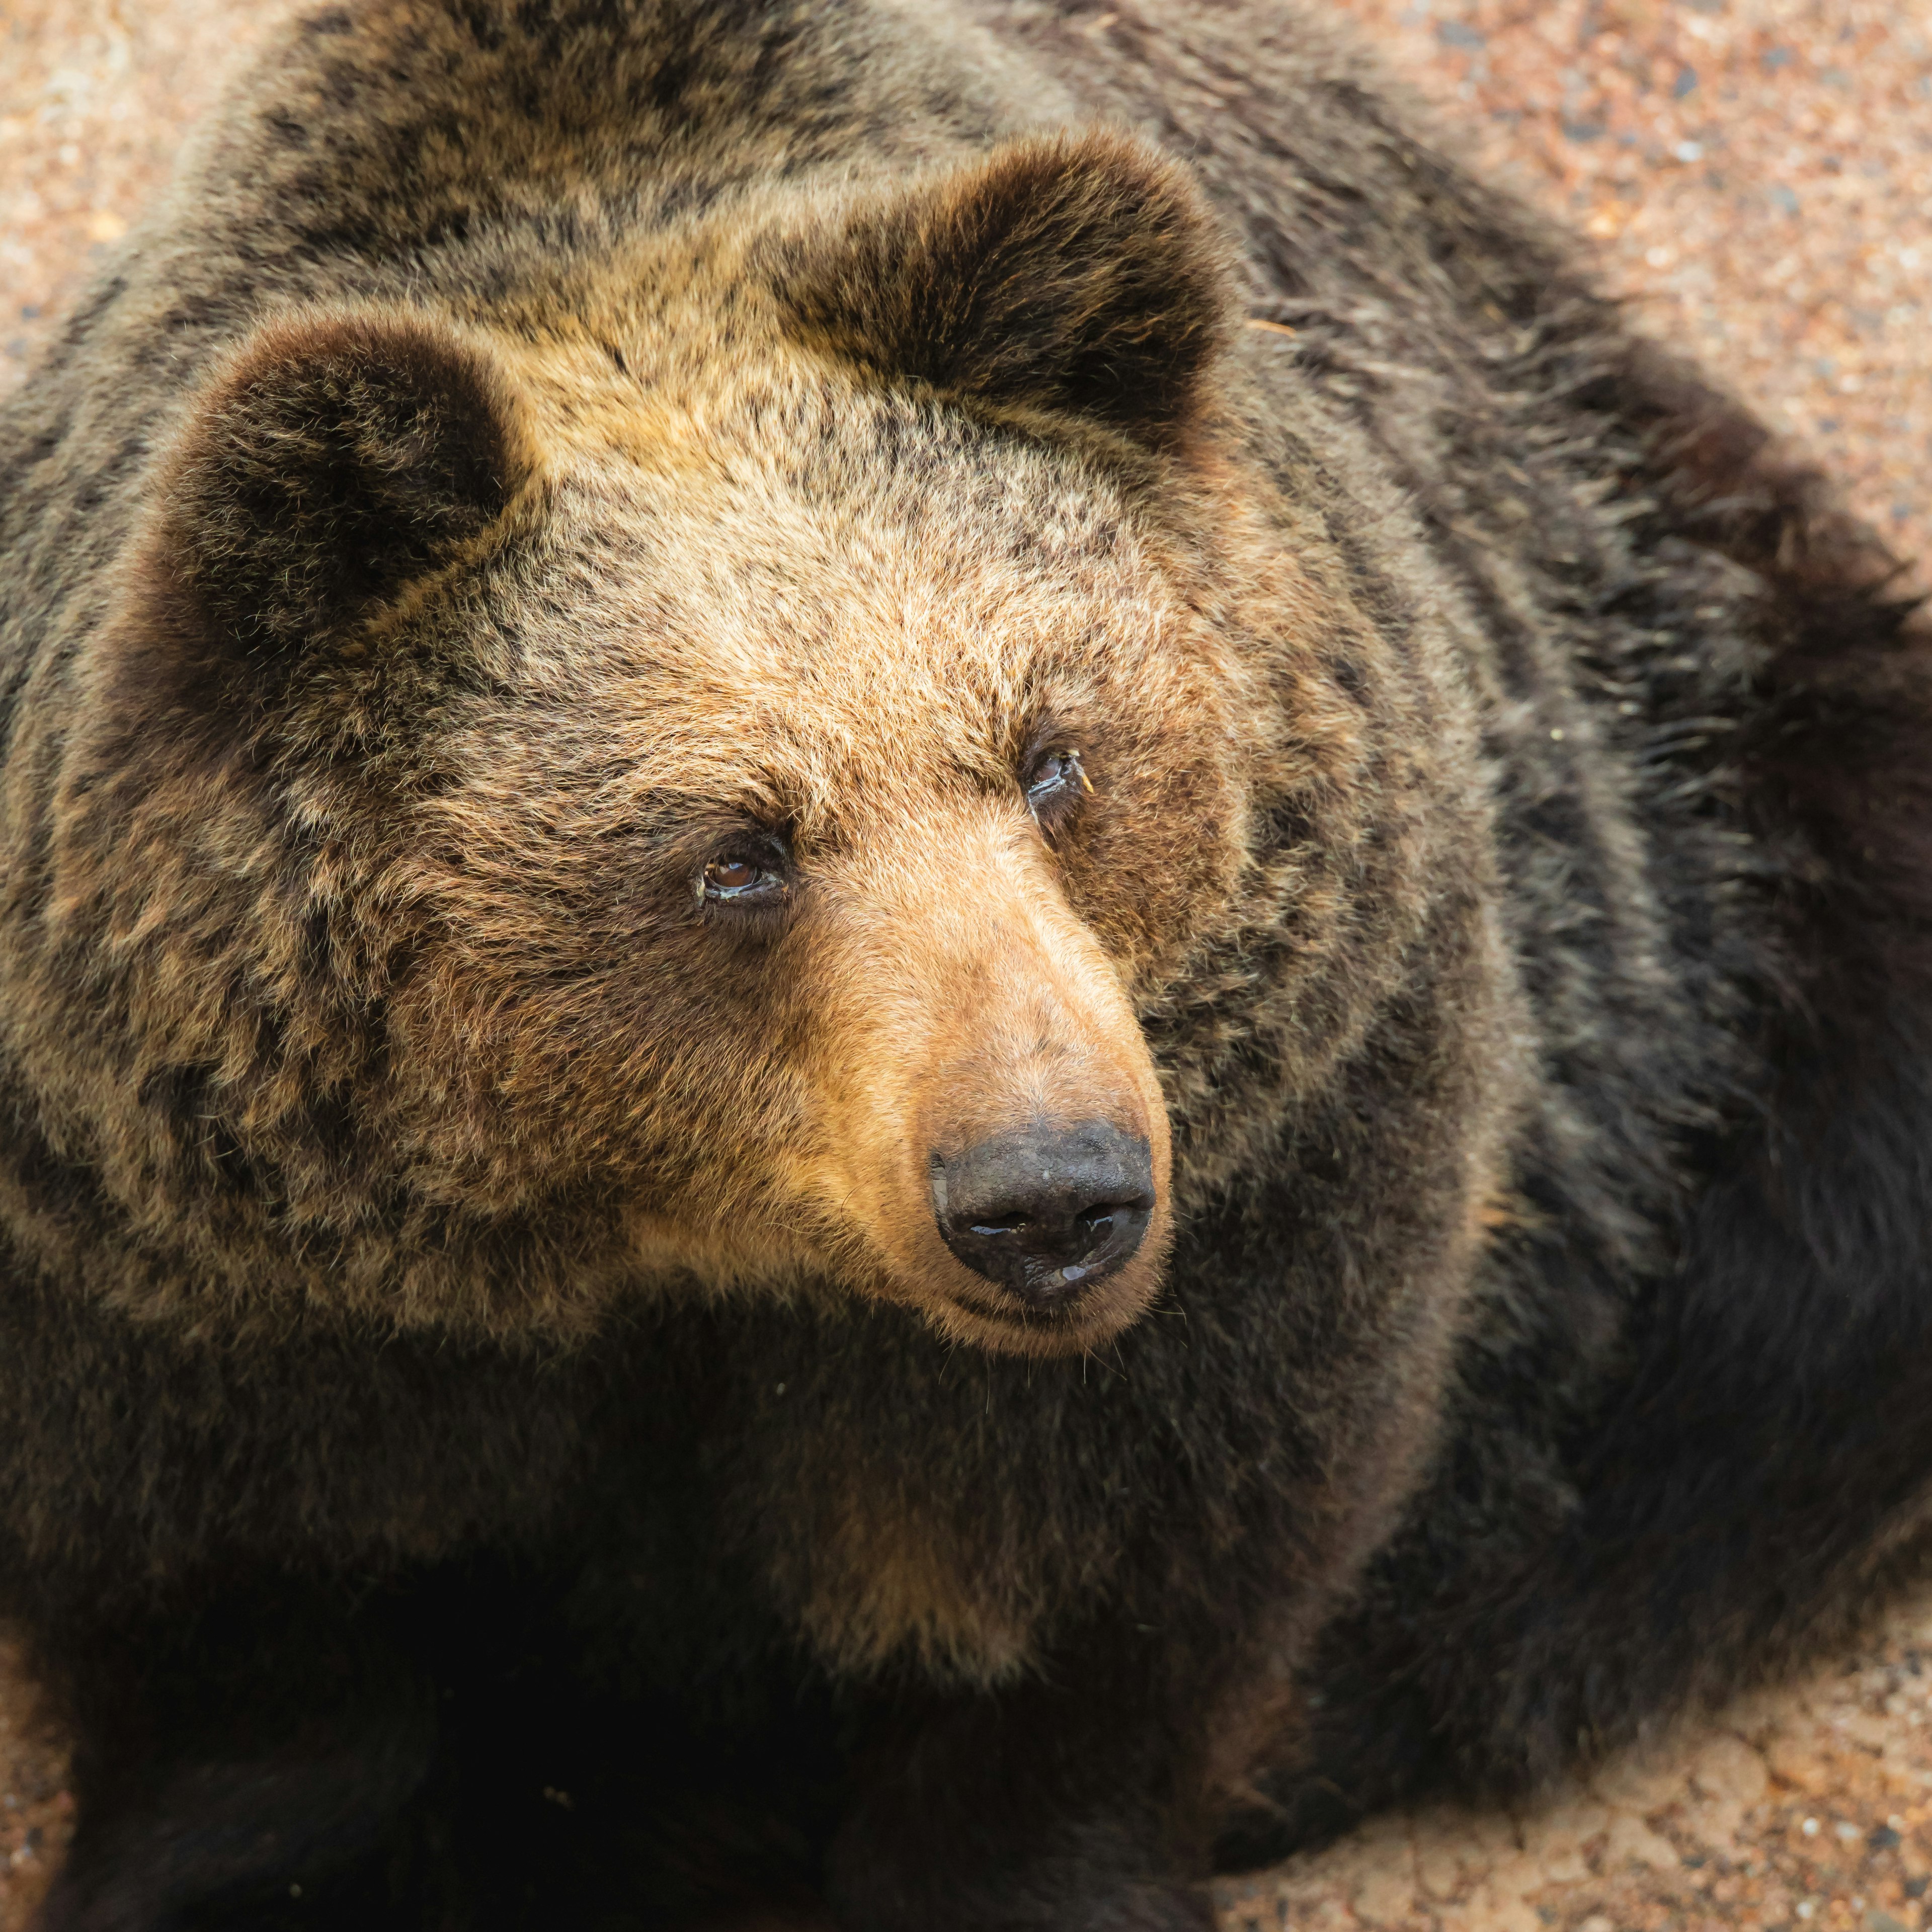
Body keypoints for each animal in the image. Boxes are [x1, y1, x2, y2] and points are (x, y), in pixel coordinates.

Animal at [0, 0, 1924, 1924]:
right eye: (739, 851)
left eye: (1053, 756)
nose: (1047, 1190)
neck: (680, 1246)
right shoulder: (233, 1282)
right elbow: (261, 1657)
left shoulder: (1267, 1175)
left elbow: (1113, 1605)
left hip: (1710, 793)